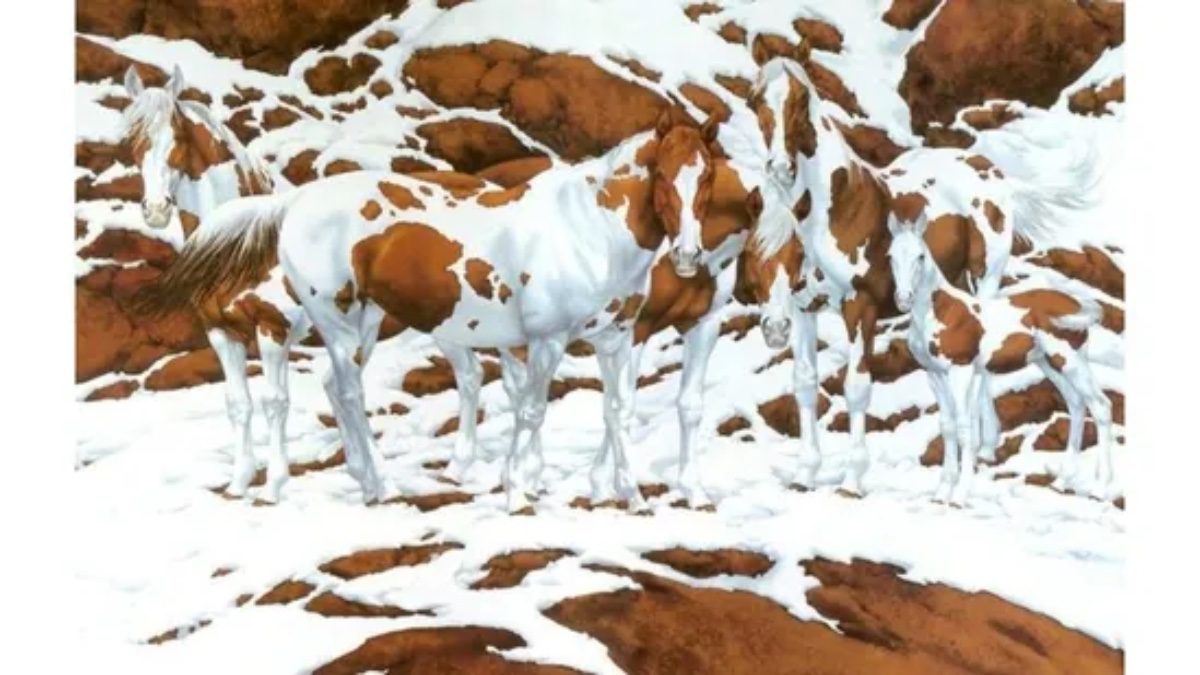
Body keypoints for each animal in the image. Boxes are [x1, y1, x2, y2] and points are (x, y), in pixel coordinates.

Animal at [121, 66, 312, 504]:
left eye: (177, 136)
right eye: (134, 141)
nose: (155, 211)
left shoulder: (273, 328)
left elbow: (274, 401)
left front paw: (273, 487)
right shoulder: (221, 331)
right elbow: (238, 403)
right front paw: (239, 482)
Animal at [152, 110, 721, 512]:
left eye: (707, 179)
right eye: (663, 176)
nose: (689, 256)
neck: (587, 232)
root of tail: (294, 203)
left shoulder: (616, 338)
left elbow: (617, 410)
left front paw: (630, 494)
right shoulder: (547, 341)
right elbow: (532, 411)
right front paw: (517, 493)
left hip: (365, 322)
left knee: (340, 389)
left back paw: (367, 480)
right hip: (336, 324)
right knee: (350, 394)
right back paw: (380, 485)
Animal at [738, 55, 1093, 495]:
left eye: (802, 100)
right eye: (755, 102)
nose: (780, 167)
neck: (838, 209)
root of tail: (989, 170)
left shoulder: (861, 308)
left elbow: (856, 389)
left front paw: (853, 479)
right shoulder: (805, 310)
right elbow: (804, 384)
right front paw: (805, 473)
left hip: (986, 280)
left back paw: (985, 448)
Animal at [887, 216, 1116, 503]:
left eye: (920, 255)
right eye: (890, 256)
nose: (903, 299)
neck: (942, 312)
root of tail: (1078, 305)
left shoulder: (961, 370)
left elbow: (964, 427)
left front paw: (960, 495)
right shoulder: (934, 374)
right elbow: (947, 426)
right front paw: (941, 493)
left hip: (1071, 361)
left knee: (1101, 406)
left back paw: (1100, 489)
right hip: (1049, 363)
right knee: (1076, 404)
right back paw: (1062, 481)